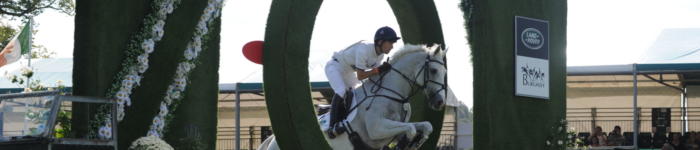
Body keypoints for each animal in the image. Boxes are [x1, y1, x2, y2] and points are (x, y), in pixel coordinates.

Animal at [258, 44, 448, 149]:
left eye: (444, 72)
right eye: (433, 70)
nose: (440, 102)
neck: (389, 92)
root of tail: (272, 140)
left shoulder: (395, 126)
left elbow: (425, 125)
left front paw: (416, 141)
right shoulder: (377, 129)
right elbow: (410, 129)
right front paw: (408, 141)